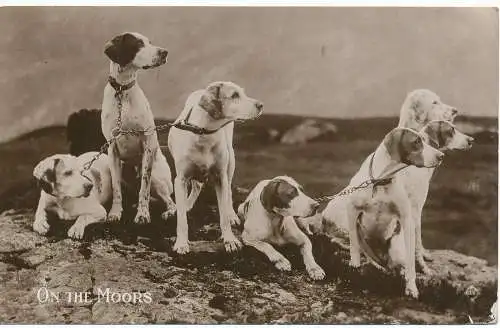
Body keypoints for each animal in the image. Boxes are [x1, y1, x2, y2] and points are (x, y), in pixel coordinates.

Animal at [99, 32, 176, 224]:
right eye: (139, 44)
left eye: (150, 42)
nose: (164, 52)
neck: (122, 91)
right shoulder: (112, 150)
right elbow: (116, 188)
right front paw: (115, 213)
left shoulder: (147, 145)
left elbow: (144, 187)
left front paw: (143, 214)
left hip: (158, 178)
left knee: (171, 201)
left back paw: (168, 212)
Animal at [168, 81, 264, 254]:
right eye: (234, 95)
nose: (261, 105)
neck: (203, 133)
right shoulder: (180, 179)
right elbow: (182, 220)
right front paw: (181, 243)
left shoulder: (220, 177)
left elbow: (223, 213)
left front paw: (230, 240)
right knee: (197, 186)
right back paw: (186, 204)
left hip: (231, 161)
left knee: (228, 193)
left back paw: (232, 215)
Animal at [322, 127, 444, 298]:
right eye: (416, 142)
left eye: (424, 140)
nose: (441, 156)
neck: (381, 180)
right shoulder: (352, 210)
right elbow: (354, 247)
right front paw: (354, 265)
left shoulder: (406, 219)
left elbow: (411, 264)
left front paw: (411, 287)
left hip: (396, 249)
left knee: (398, 264)